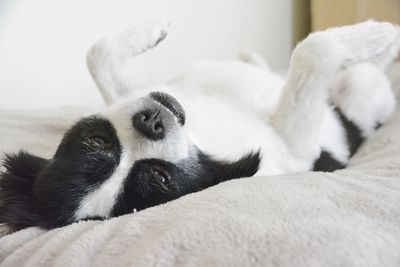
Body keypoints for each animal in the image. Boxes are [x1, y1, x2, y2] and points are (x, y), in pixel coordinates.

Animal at [0, 21, 400, 231]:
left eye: (96, 141)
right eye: (161, 178)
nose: (151, 123)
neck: (201, 137)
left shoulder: (131, 93)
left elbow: (97, 55)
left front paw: (146, 34)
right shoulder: (295, 144)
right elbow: (314, 50)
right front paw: (379, 34)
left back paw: (251, 56)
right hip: (364, 91)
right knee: (365, 76)